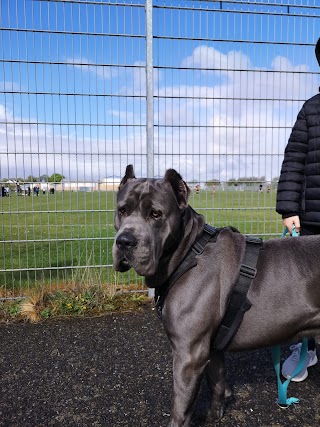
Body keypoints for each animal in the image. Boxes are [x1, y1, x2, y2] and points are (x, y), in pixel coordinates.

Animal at [112, 165, 320, 427]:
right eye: (122, 210)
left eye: (156, 214)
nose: (125, 241)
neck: (189, 253)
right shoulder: (211, 349)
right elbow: (218, 383)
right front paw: (214, 414)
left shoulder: (188, 357)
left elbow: (180, 410)